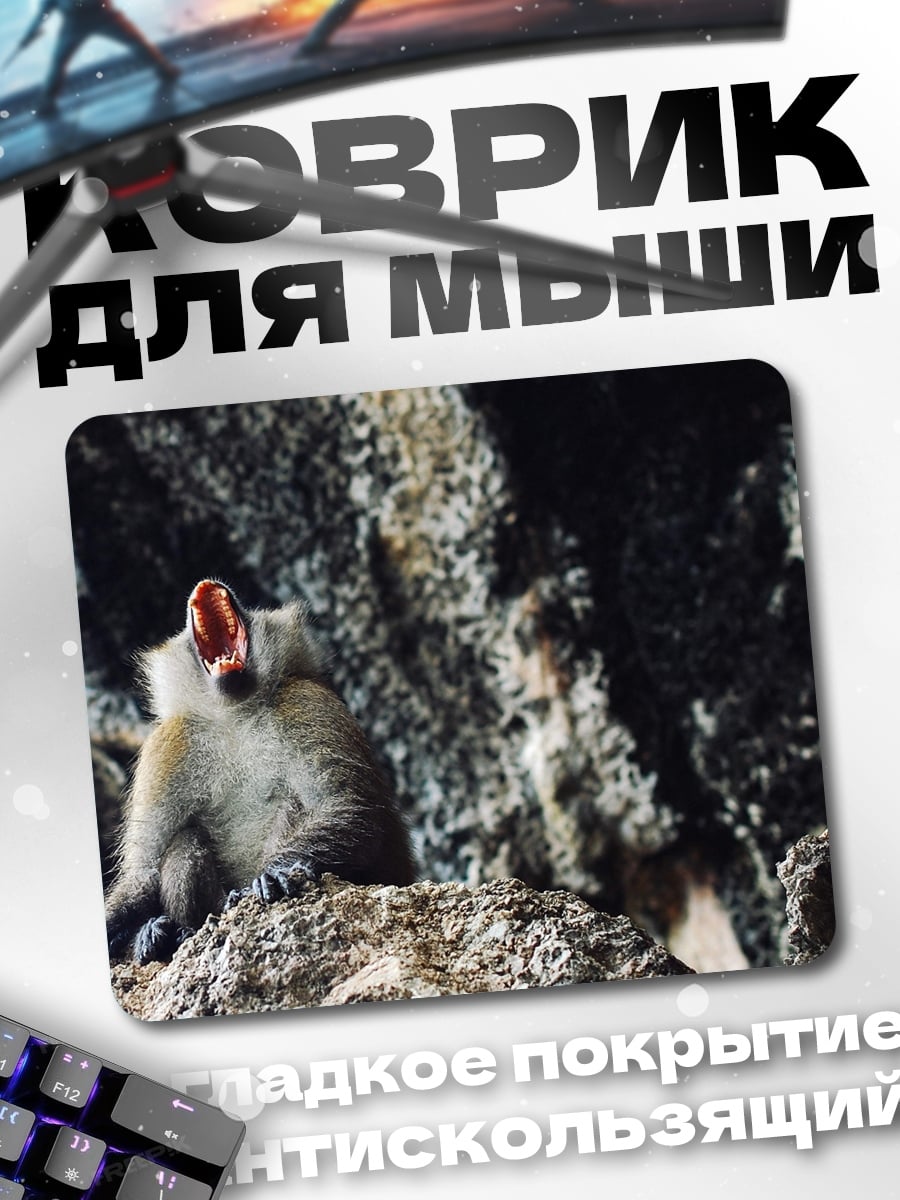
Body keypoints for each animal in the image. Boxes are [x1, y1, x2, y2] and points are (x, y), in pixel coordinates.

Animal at [105, 579, 416, 964]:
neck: (235, 714)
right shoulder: (168, 745)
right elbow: (142, 873)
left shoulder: (307, 704)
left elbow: (352, 810)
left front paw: (274, 875)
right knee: (183, 842)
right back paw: (178, 930)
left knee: (292, 803)